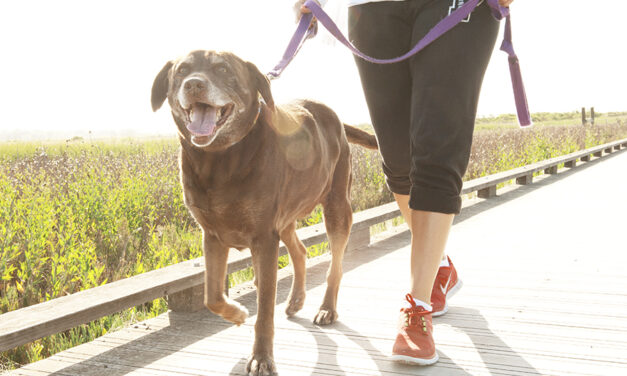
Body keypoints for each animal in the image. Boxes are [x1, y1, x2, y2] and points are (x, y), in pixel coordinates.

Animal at [152, 50, 378, 376]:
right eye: (182, 71)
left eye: (223, 69)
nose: (194, 84)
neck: (218, 160)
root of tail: (333, 115)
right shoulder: (212, 236)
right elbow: (212, 296)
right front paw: (235, 313)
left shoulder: (264, 238)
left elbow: (264, 308)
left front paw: (261, 357)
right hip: (285, 219)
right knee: (300, 251)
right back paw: (296, 300)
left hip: (336, 207)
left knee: (335, 264)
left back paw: (327, 308)